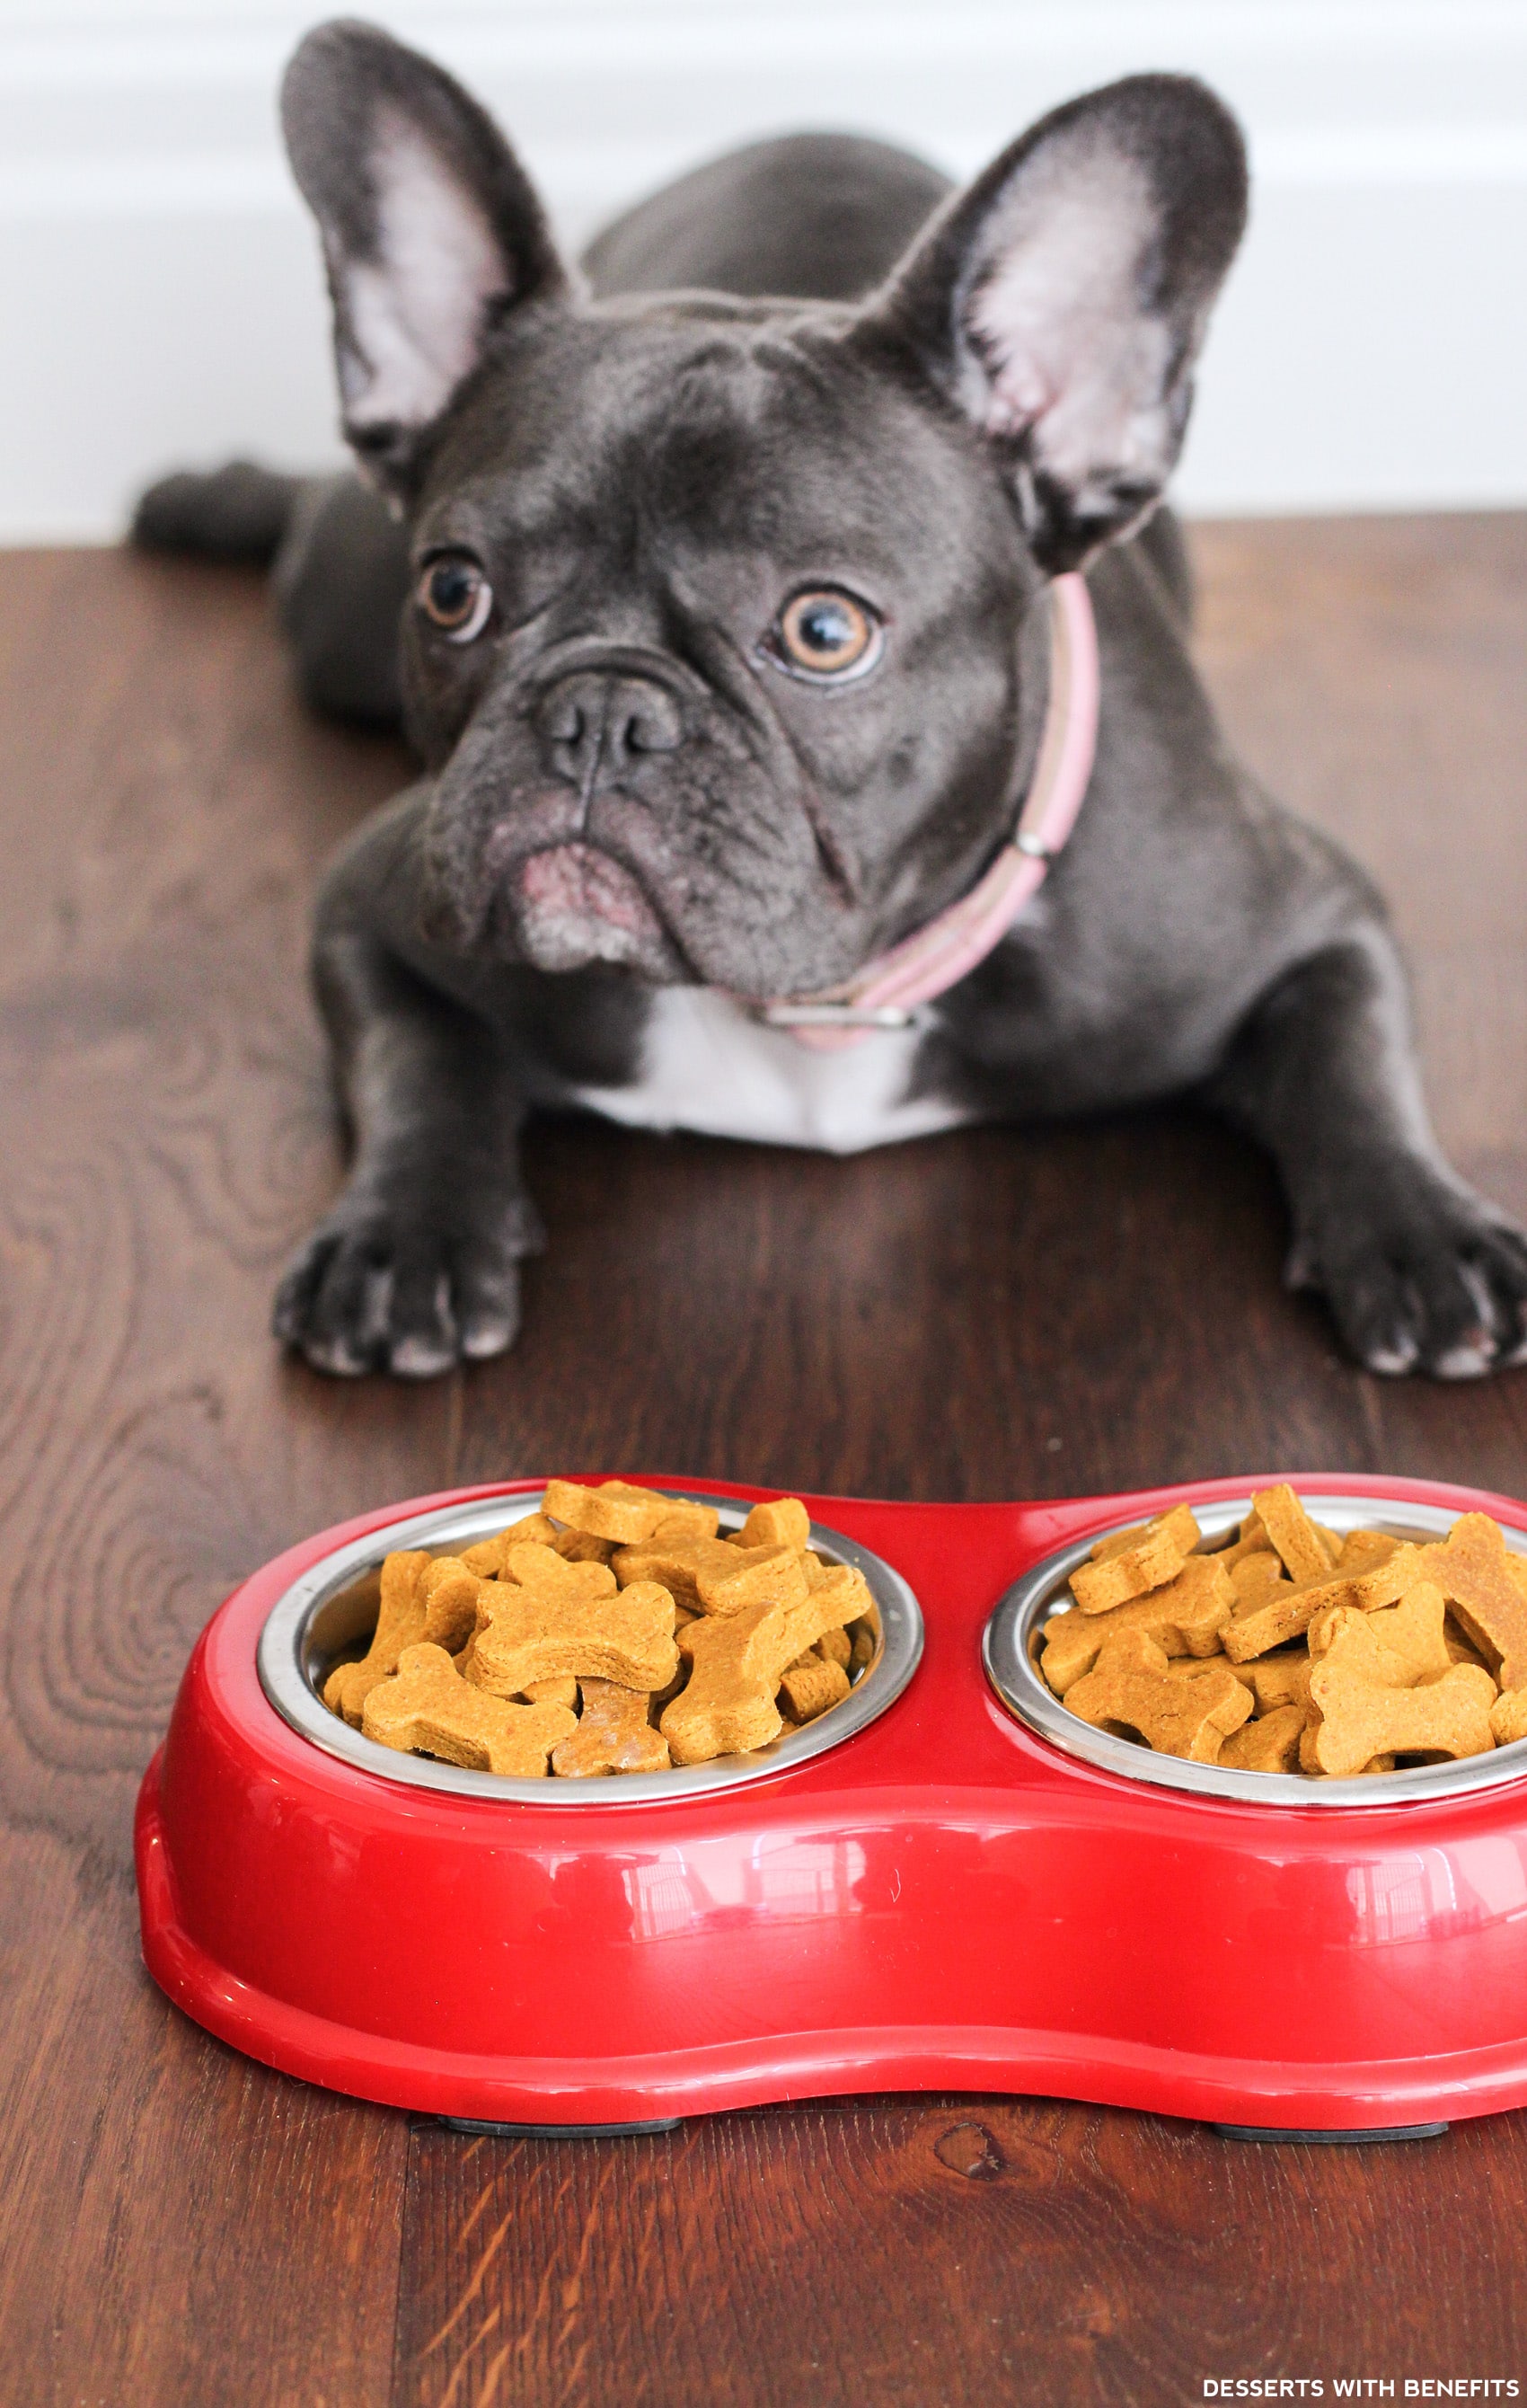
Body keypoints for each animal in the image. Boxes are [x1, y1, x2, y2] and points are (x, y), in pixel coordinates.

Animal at [133, 18, 1522, 1386]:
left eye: (823, 630)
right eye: (454, 590)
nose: (599, 711)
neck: (818, 1008)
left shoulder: (1306, 916)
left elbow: (1354, 1061)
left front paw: (1422, 1232)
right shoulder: (371, 903)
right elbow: (416, 1060)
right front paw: (404, 1236)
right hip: (339, 612)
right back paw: (206, 494)